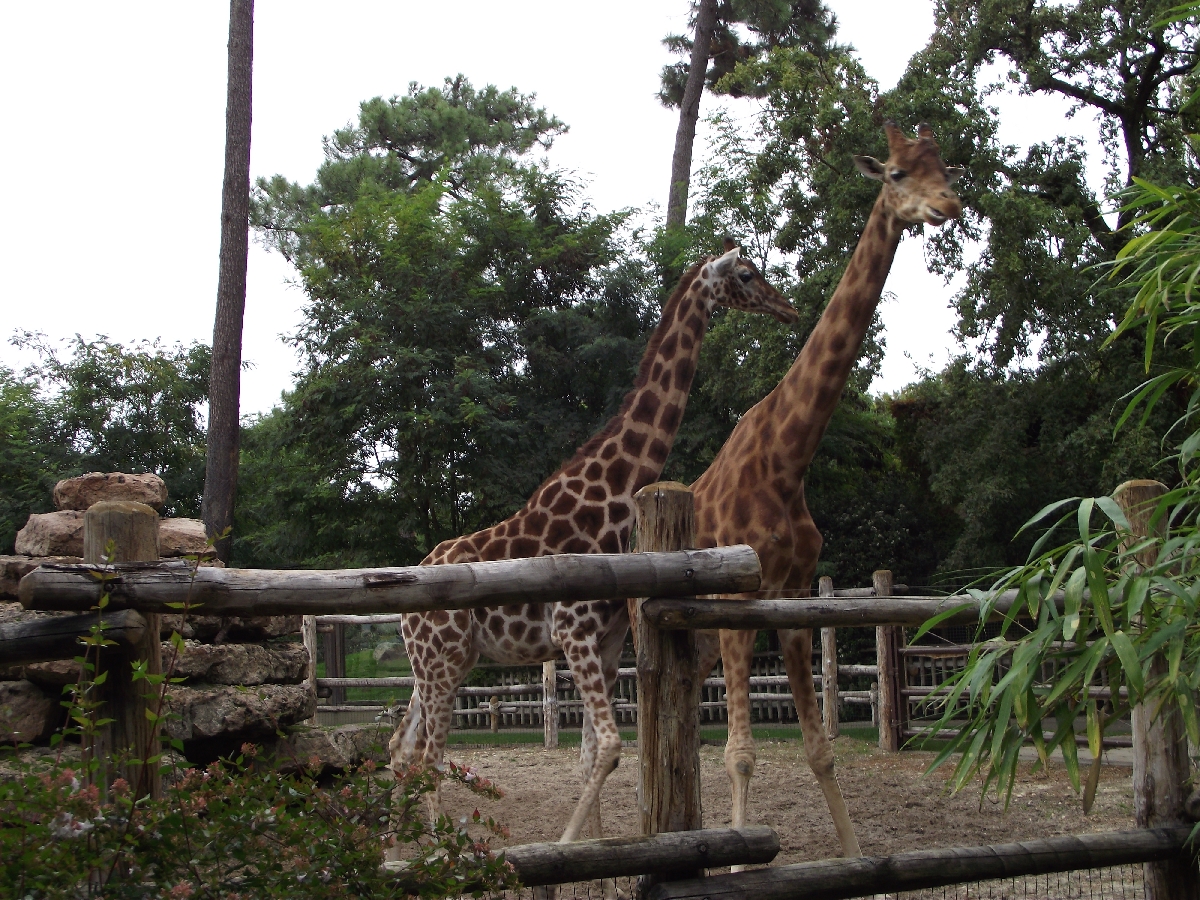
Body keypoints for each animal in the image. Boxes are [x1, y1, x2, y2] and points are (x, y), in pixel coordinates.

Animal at [389, 246, 798, 849]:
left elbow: (590, 757)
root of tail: (404, 610)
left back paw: (393, 851)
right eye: (747, 275)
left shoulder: (604, 644)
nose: (788, 309)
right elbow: (607, 749)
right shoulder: (573, 633)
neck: (611, 502)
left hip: (439, 664)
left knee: (400, 749)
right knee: (428, 759)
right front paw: (564, 849)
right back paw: (439, 852)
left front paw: (594, 852)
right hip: (441, 665)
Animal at [689, 123, 963, 856]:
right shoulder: (739, 603)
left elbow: (819, 749)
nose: (948, 205)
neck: (788, 462)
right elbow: (741, 754)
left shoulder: (791, 603)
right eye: (896, 173)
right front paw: (734, 862)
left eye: (945, 168)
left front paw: (853, 854)